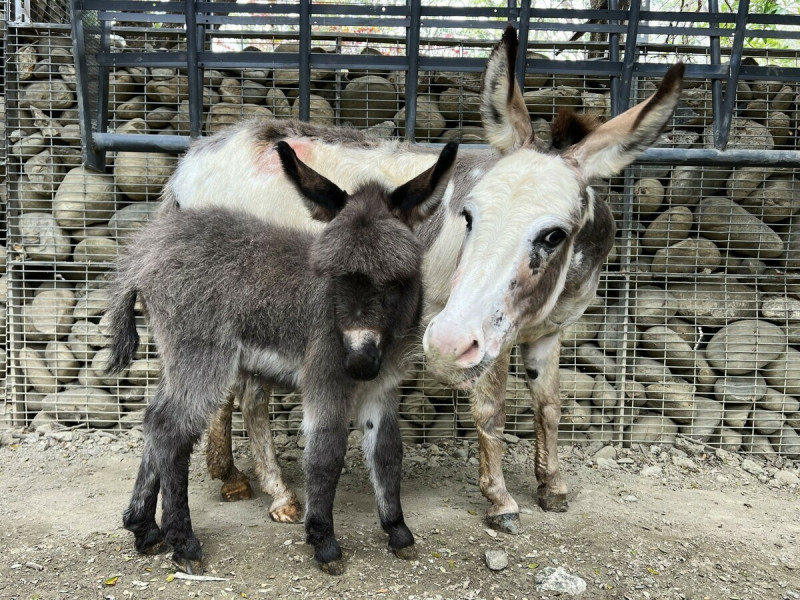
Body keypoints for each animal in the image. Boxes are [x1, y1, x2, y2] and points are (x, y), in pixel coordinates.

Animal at [104, 138, 456, 576]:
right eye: (331, 276)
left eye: (396, 280)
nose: (359, 363)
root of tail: (146, 252)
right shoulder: (325, 377)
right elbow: (326, 454)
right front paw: (324, 542)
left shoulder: (381, 388)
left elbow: (388, 453)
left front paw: (398, 532)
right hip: (201, 357)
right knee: (171, 429)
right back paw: (183, 542)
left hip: (178, 360)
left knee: (154, 422)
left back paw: (144, 529)